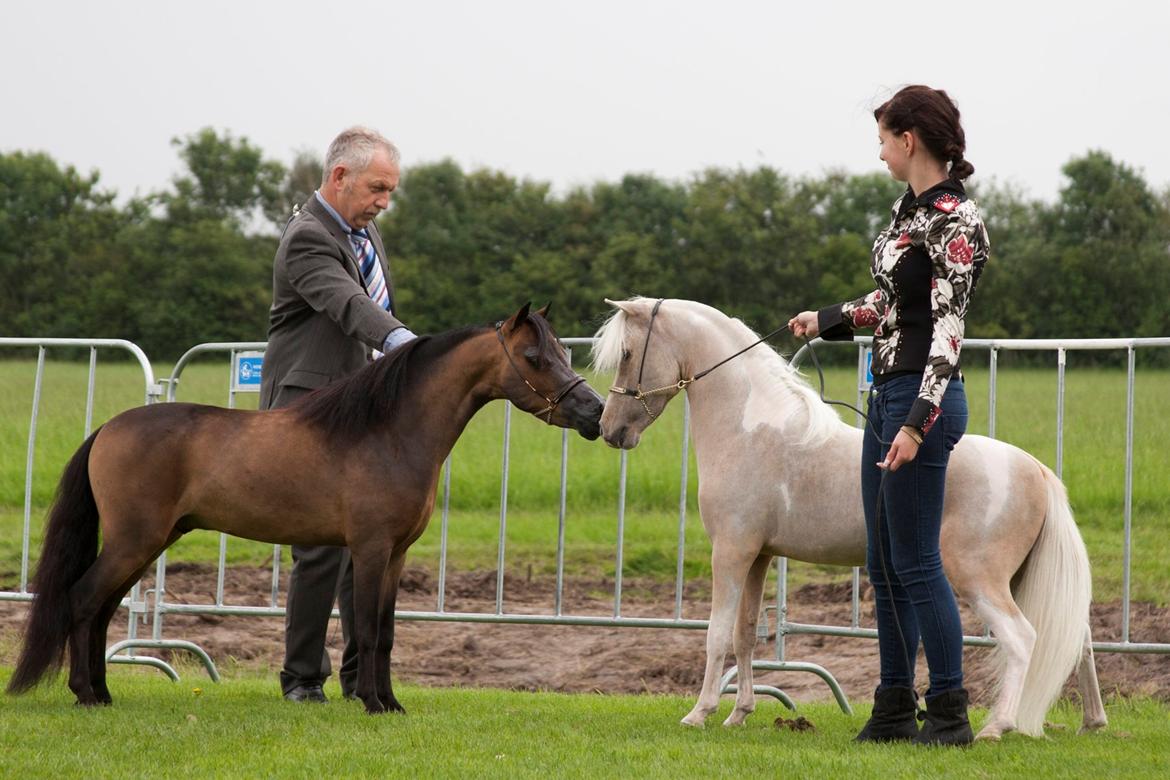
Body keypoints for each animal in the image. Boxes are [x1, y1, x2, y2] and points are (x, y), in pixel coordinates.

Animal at [11, 304, 603, 715]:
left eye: (563, 352)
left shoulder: (395, 556)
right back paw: (86, 694)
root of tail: (108, 429)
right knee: (84, 600)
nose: (593, 411)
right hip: (134, 541)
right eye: (534, 358)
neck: (387, 432)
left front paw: (391, 702)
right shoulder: (370, 550)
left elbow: (387, 631)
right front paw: (374, 704)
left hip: (147, 544)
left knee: (102, 608)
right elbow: (368, 628)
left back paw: (103, 691)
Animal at [594, 297, 1104, 739]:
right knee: (1077, 639)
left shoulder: (731, 551)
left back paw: (998, 726)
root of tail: (1036, 470)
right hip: (1019, 579)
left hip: (979, 579)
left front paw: (700, 713)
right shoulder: (758, 556)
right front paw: (740, 713)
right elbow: (745, 636)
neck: (751, 427)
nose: (609, 429)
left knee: (1022, 639)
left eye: (626, 354)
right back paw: (1092, 722)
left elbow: (717, 635)